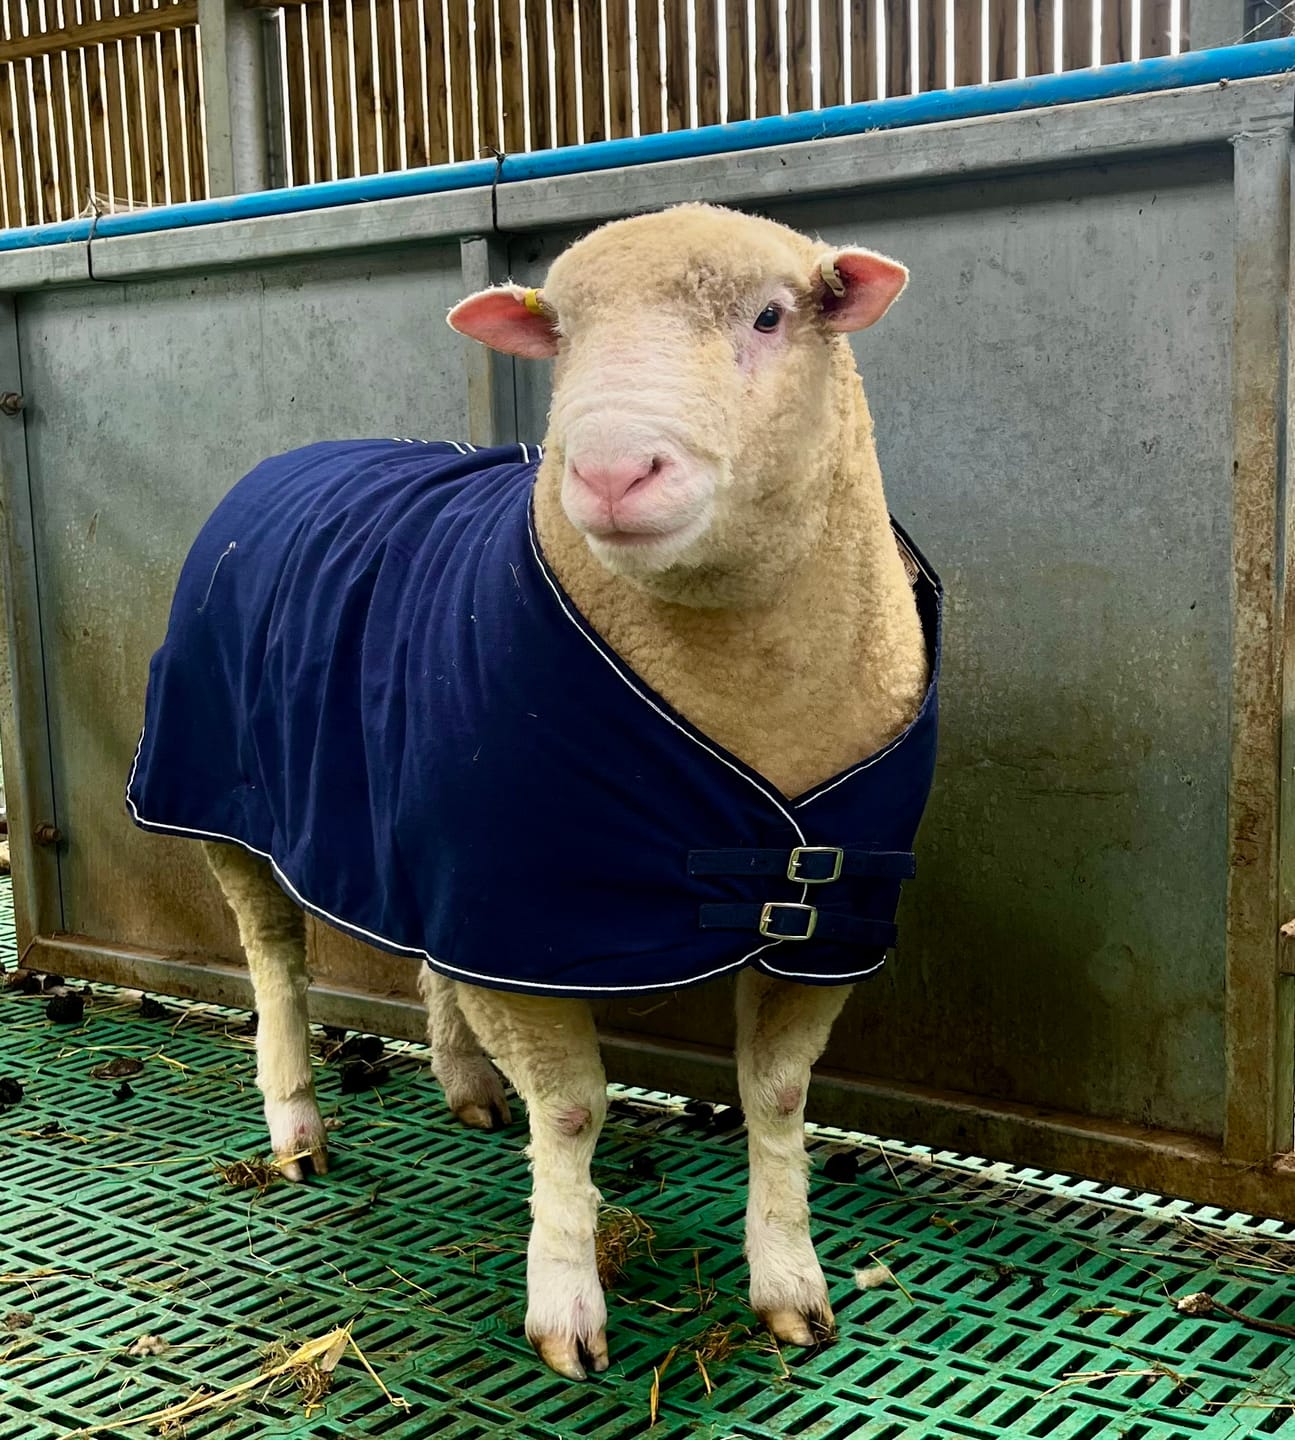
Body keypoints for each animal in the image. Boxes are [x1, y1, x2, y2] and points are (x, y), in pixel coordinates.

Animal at [126, 203, 941, 1382]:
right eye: (560, 336)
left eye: (769, 316)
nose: (606, 473)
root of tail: (299, 453)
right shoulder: (527, 917)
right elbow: (568, 1116)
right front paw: (566, 1302)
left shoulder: (822, 917)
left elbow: (777, 1095)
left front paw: (789, 1285)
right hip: (221, 796)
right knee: (274, 958)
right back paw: (296, 1124)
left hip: (418, 822)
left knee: (425, 958)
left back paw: (464, 1083)